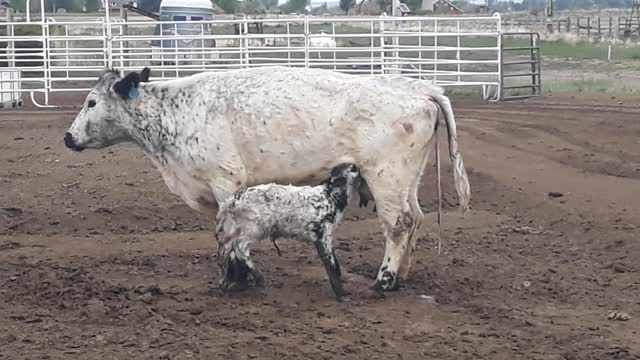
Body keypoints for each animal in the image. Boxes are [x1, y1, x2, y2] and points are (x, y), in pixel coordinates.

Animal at [65, 65, 472, 292]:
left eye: (91, 102)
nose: (68, 137)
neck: (175, 112)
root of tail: (420, 89)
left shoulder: (225, 182)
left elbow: (230, 234)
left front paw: (238, 277)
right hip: (407, 180)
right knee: (415, 219)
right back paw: (402, 275)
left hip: (386, 177)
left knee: (398, 224)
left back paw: (385, 280)